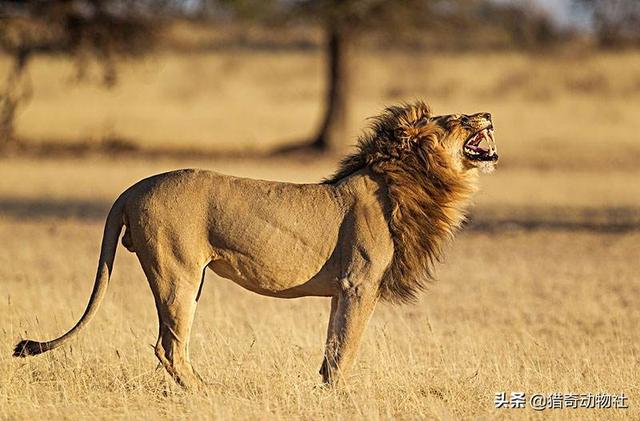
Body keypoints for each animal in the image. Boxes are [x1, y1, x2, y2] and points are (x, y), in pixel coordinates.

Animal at [12, 101, 498, 388]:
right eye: (457, 120)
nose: (489, 115)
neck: (412, 179)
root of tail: (131, 189)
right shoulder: (359, 284)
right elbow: (347, 348)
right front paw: (340, 397)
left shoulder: (341, 291)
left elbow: (331, 346)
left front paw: (323, 391)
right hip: (177, 274)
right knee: (169, 346)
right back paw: (205, 393)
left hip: (188, 277)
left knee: (168, 345)